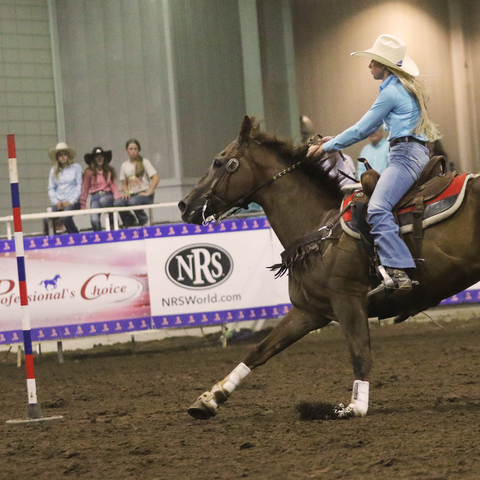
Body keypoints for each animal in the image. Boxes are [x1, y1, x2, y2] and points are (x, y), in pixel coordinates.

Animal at [179, 116, 480, 420]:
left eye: (220, 162)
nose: (184, 204)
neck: (321, 228)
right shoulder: (309, 310)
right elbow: (260, 351)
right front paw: (211, 397)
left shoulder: (347, 301)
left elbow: (360, 354)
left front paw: (355, 406)